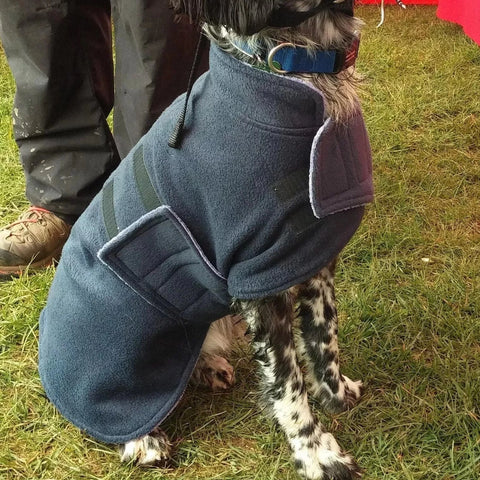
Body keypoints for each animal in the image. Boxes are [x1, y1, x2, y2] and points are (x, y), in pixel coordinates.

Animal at [39, 0, 374, 480]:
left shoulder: (309, 253)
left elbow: (324, 337)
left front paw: (337, 394)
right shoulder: (259, 278)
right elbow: (287, 383)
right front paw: (316, 455)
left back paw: (209, 368)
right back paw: (143, 440)